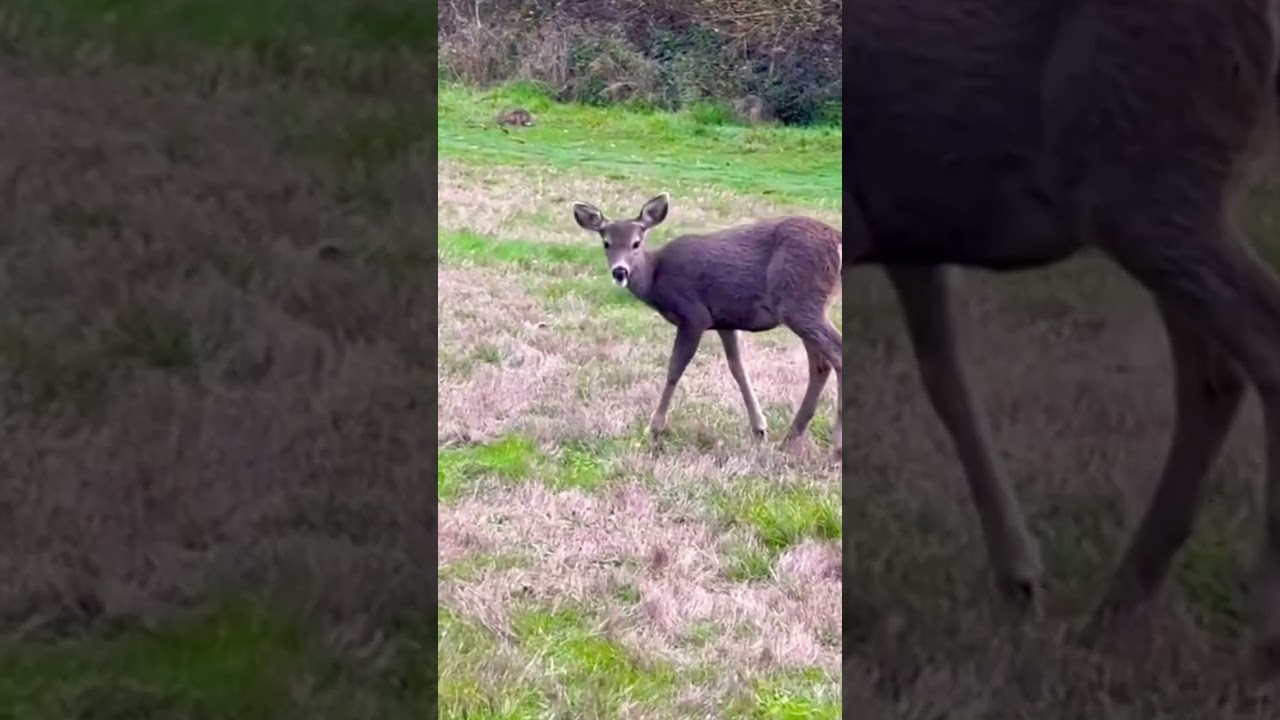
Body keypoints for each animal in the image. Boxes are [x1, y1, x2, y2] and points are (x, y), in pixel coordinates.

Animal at [570, 194, 842, 456]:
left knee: (835, 354)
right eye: (606, 243)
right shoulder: (725, 319)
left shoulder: (694, 315)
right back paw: (790, 437)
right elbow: (737, 368)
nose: (620, 272)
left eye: (636, 243)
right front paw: (759, 428)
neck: (656, 278)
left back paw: (836, 446)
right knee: (820, 364)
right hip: (805, 305)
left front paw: (654, 429)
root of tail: (838, 241)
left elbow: (674, 369)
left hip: (798, 300)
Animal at [848, 0, 1280, 678]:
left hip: (1143, 157)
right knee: (1214, 375)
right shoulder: (908, 224)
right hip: (1167, 175)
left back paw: (1262, 638)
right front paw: (1021, 581)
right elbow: (945, 378)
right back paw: (1117, 605)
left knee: (1259, 350)